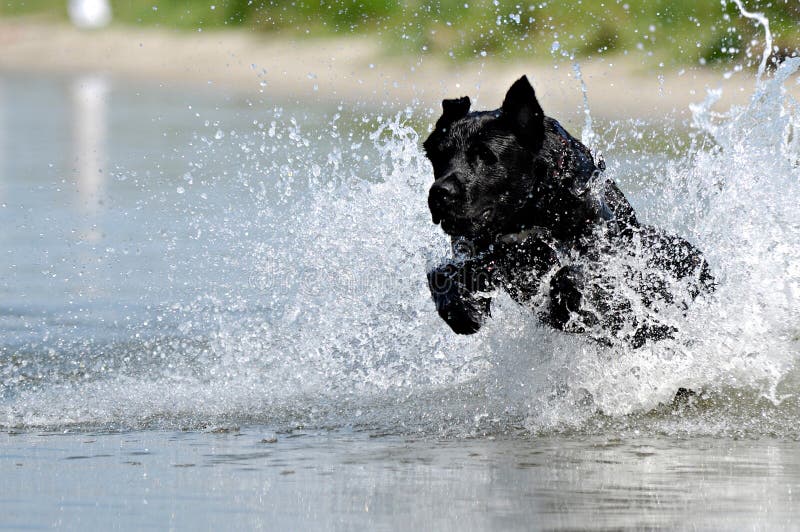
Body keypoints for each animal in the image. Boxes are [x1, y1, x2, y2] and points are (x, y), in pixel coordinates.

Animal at [424, 76, 712, 350]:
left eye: (485, 154)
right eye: (438, 157)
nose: (439, 193)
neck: (530, 212)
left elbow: (572, 276)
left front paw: (568, 307)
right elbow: (441, 274)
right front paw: (461, 310)